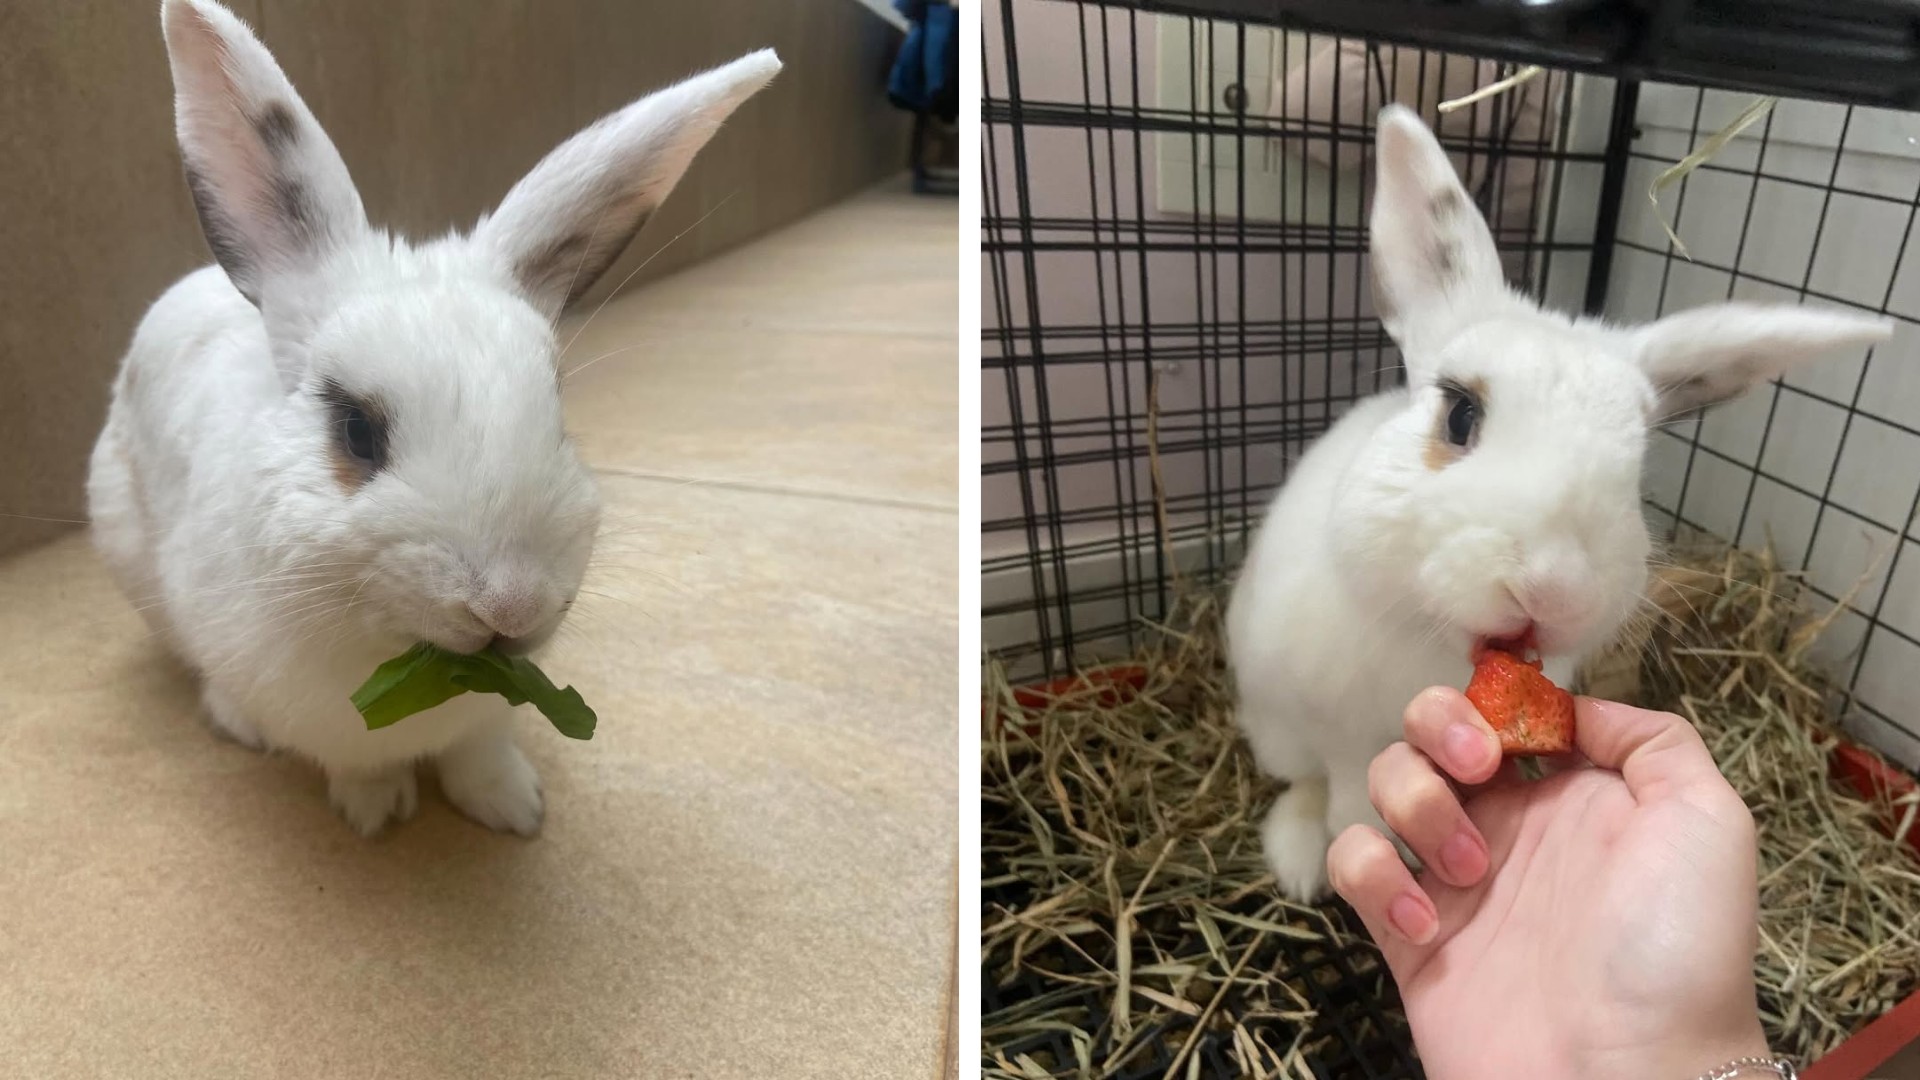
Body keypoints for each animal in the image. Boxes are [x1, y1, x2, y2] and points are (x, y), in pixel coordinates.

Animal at [86, 0, 781, 836]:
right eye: (356, 430)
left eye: (557, 409)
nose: (510, 606)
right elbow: (360, 763)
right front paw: (376, 813)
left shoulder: (484, 716)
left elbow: (480, 751)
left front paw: (514, 808)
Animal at [1225, 105, 1894, 903]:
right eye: (1459, 414)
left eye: (1636, 472)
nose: (1554, 590)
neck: (1424, 640)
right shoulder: (1336, 731)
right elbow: (1347, 787)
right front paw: (1347, 839)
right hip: (1272, 721)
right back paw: (1298, 859)